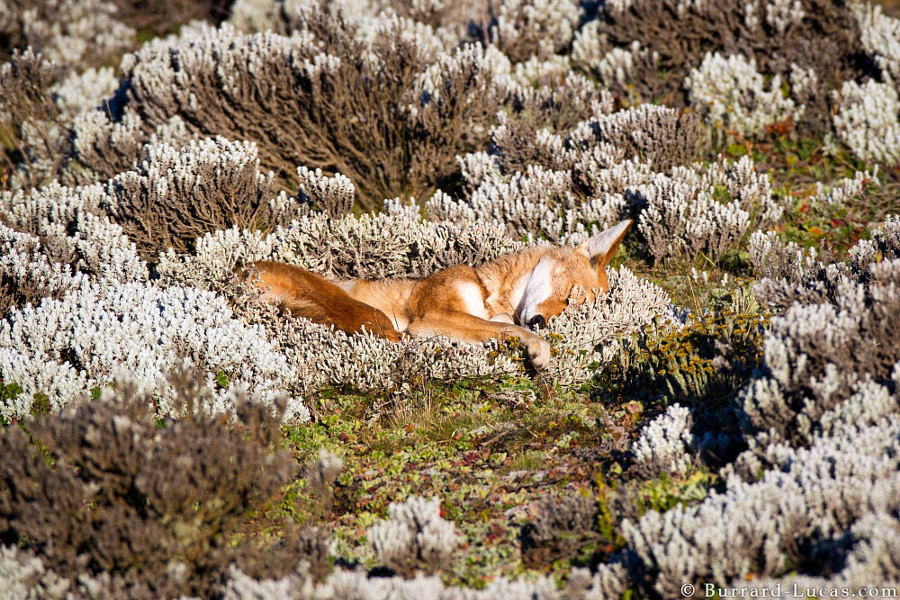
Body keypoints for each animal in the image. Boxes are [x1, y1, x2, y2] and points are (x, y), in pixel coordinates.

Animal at [239, 220, 632, 370]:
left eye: (570, 311)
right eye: (568, 295)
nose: (541, 320)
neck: (487, 290)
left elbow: (503, 325)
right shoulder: (434, 317)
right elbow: (511, 328)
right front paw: (537, 346)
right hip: (371, 315)